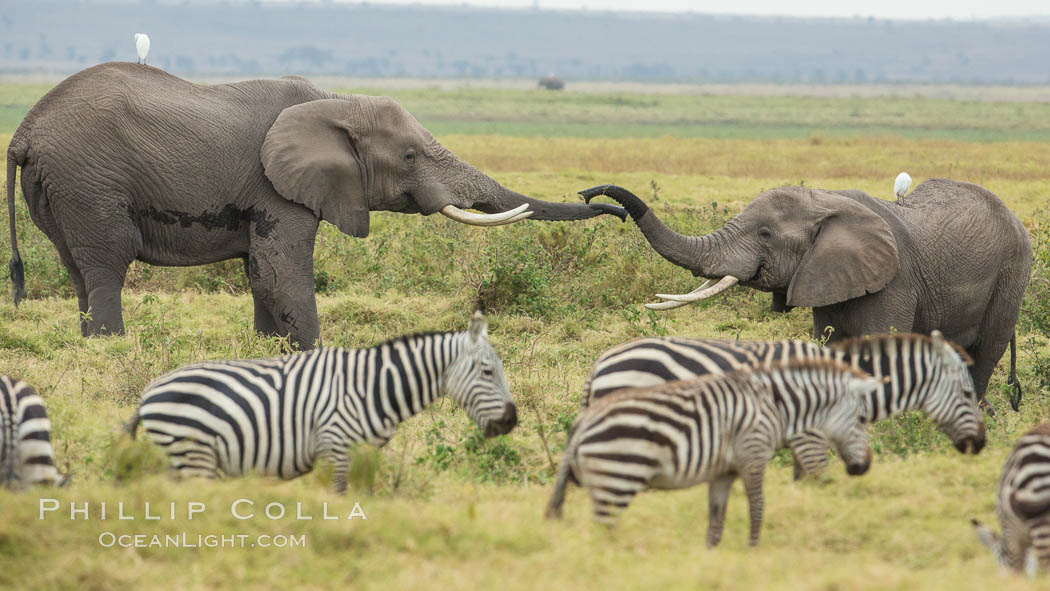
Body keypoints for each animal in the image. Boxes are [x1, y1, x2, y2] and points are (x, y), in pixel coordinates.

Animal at [6, 63, 621, 350]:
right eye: (410, 156)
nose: (601, 197)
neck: (338, 101)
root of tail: (26, 131)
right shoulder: (275, 187)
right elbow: (282, 269)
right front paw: (311, 358)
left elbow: (260, 271)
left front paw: (266, 352)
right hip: (88, 179)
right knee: (108, 262)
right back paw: (111, 347)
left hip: (60, 187)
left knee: (76, 267)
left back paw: (89, 345)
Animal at [129, 312, 518, 493]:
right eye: (487, 372)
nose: (512, 421)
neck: (374, 389)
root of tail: (148, 393)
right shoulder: (336, 448)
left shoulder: (367, 455)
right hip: (194, 456)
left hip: (181, 460)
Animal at [541, 359, 877, 550]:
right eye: (862, 419)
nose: (863, 467)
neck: (775, 403)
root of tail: (583, 423)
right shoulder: (752, 454)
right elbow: (758, 505)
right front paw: (753, 549)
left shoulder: (723, 471)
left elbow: (717, 517)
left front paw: (710, 556)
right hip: (618, 476)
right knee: (602, 527)